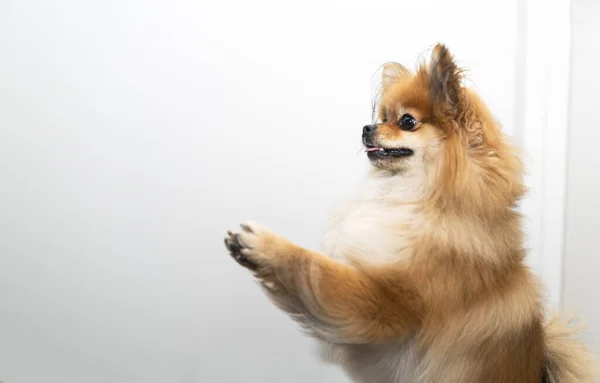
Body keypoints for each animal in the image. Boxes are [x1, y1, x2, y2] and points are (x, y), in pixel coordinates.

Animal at [224, 43, 596, 382]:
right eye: (382, 117)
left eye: (406, 121)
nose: (366, 128)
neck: (416, 199)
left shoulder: (386, 303)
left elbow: (314, 267)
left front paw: (263, 246)